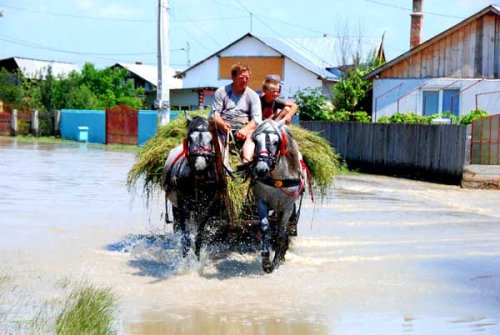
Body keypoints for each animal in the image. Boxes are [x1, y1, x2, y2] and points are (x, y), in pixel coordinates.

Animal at [162, 114, 219, 258]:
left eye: (211, 140)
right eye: (190, 138)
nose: (199, 168)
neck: (198, 180)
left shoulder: (208, 205)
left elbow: (199, 236)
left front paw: (197, 259)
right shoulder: (183, 203)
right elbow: (186, 237)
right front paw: (185, 260)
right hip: (175, 205)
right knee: (177, 226)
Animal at [249, 119, 304, 274]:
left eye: (276, 142)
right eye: (256, 140)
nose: (261, 169)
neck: (278, 178)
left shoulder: (287, 207)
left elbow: (280, 233)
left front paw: (276, 261)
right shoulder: (262, 201)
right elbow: (265, 227)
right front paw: (266, 261)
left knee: (283, 230)